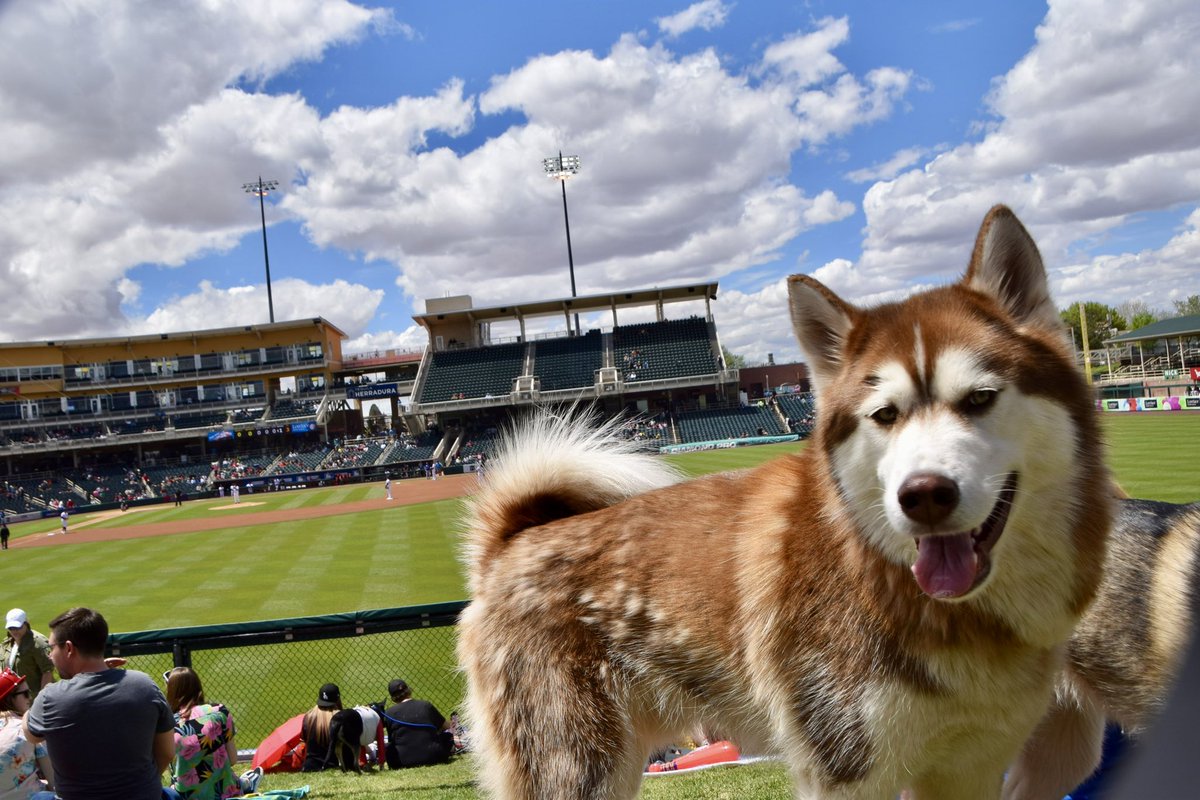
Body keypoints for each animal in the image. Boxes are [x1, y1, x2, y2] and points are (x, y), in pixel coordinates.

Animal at [453, 208, 1108, 800]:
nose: (922, 496)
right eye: (885, 415)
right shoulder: (846, 772)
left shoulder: (969, 767)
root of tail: (510, 541)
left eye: (980, 398)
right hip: (574, 768)